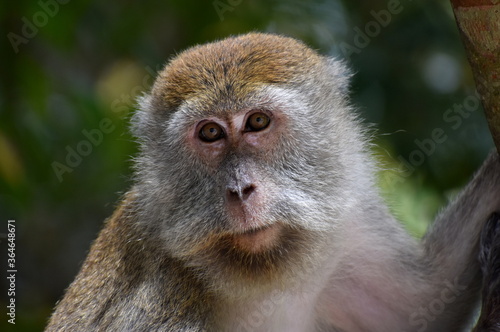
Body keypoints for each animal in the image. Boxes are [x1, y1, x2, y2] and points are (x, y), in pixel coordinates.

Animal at [46, 32, 500, 330]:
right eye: (210, 133)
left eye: (258, 122)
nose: (240, 190)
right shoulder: (166, 292)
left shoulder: (349, 230)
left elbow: (424, 304)